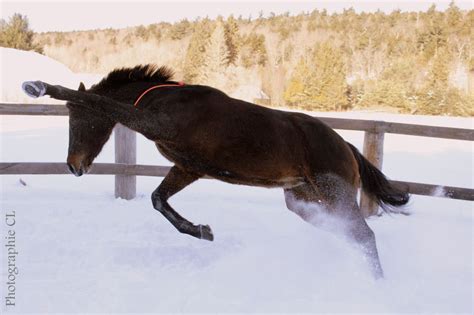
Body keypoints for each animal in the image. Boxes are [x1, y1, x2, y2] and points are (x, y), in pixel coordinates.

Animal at [21, 65, 408, 278]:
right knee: (350, 235)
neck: (161, 99)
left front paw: (38, 86)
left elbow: (100, 100)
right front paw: (203, 232)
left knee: (365, 236)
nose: (74, 166)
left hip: (333, 194)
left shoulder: (155, 125)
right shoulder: (188, 167)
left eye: (78, 119)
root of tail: (347, 148)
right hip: (303, 201)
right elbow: (158, 200)